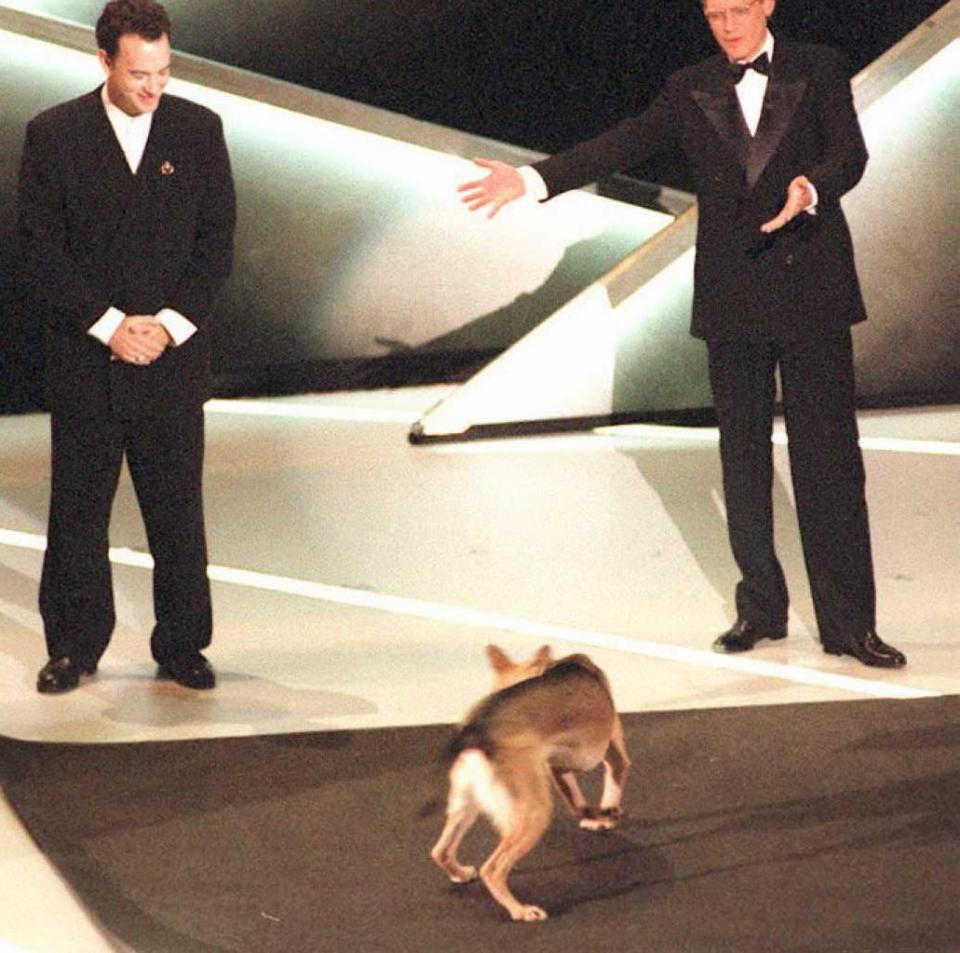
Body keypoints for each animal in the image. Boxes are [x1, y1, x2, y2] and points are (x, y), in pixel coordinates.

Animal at [430, 644, 632, 920]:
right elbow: (609, 786)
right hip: (534, 814)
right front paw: (604, 817)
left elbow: (577, 800)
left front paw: (595, 817)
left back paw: (460, 873)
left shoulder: (555, 766)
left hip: (465, 808)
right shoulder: (609, 756)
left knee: (440, 851)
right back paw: (521, 910)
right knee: (493, 869)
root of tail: (477, 733)